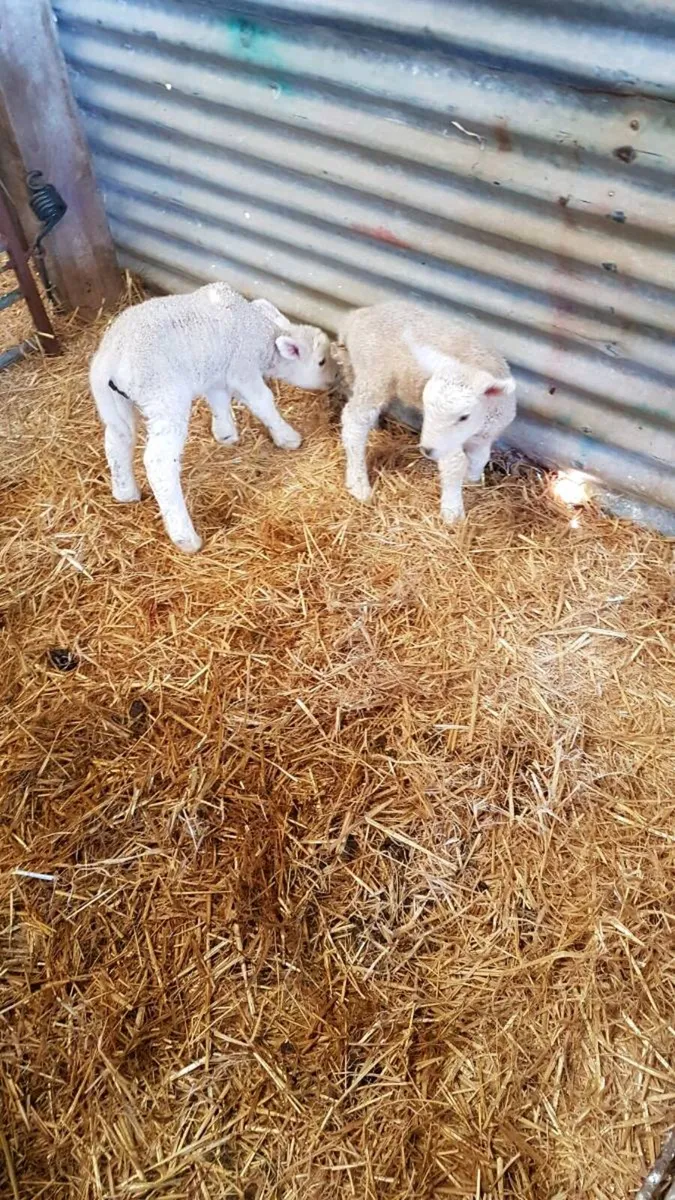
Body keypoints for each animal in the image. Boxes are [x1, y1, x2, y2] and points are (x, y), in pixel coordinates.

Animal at [90, 284, 334, 552]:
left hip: (113, 400)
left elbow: (219, 400)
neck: (261, 333)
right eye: (321, 361)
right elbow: (263, 401)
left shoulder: (217, 372)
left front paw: (226, 434)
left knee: (118, 439)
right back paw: (185, 537)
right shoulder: (243, 368)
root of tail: (111, 358)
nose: (335, 379)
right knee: (159, 461)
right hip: (164, 396)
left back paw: (125, 493)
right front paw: (288, 437)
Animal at [337, 301, 516, 523]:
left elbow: (480, 458)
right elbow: (455, 464)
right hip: (375, 375)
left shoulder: (484, 435)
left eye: (464, 416)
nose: (427, 450)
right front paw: (453, 512)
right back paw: (359, 483)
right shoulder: (446, 442)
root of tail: (358, 314)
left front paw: (472, 482)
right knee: (354, 422)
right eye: (427, 407)